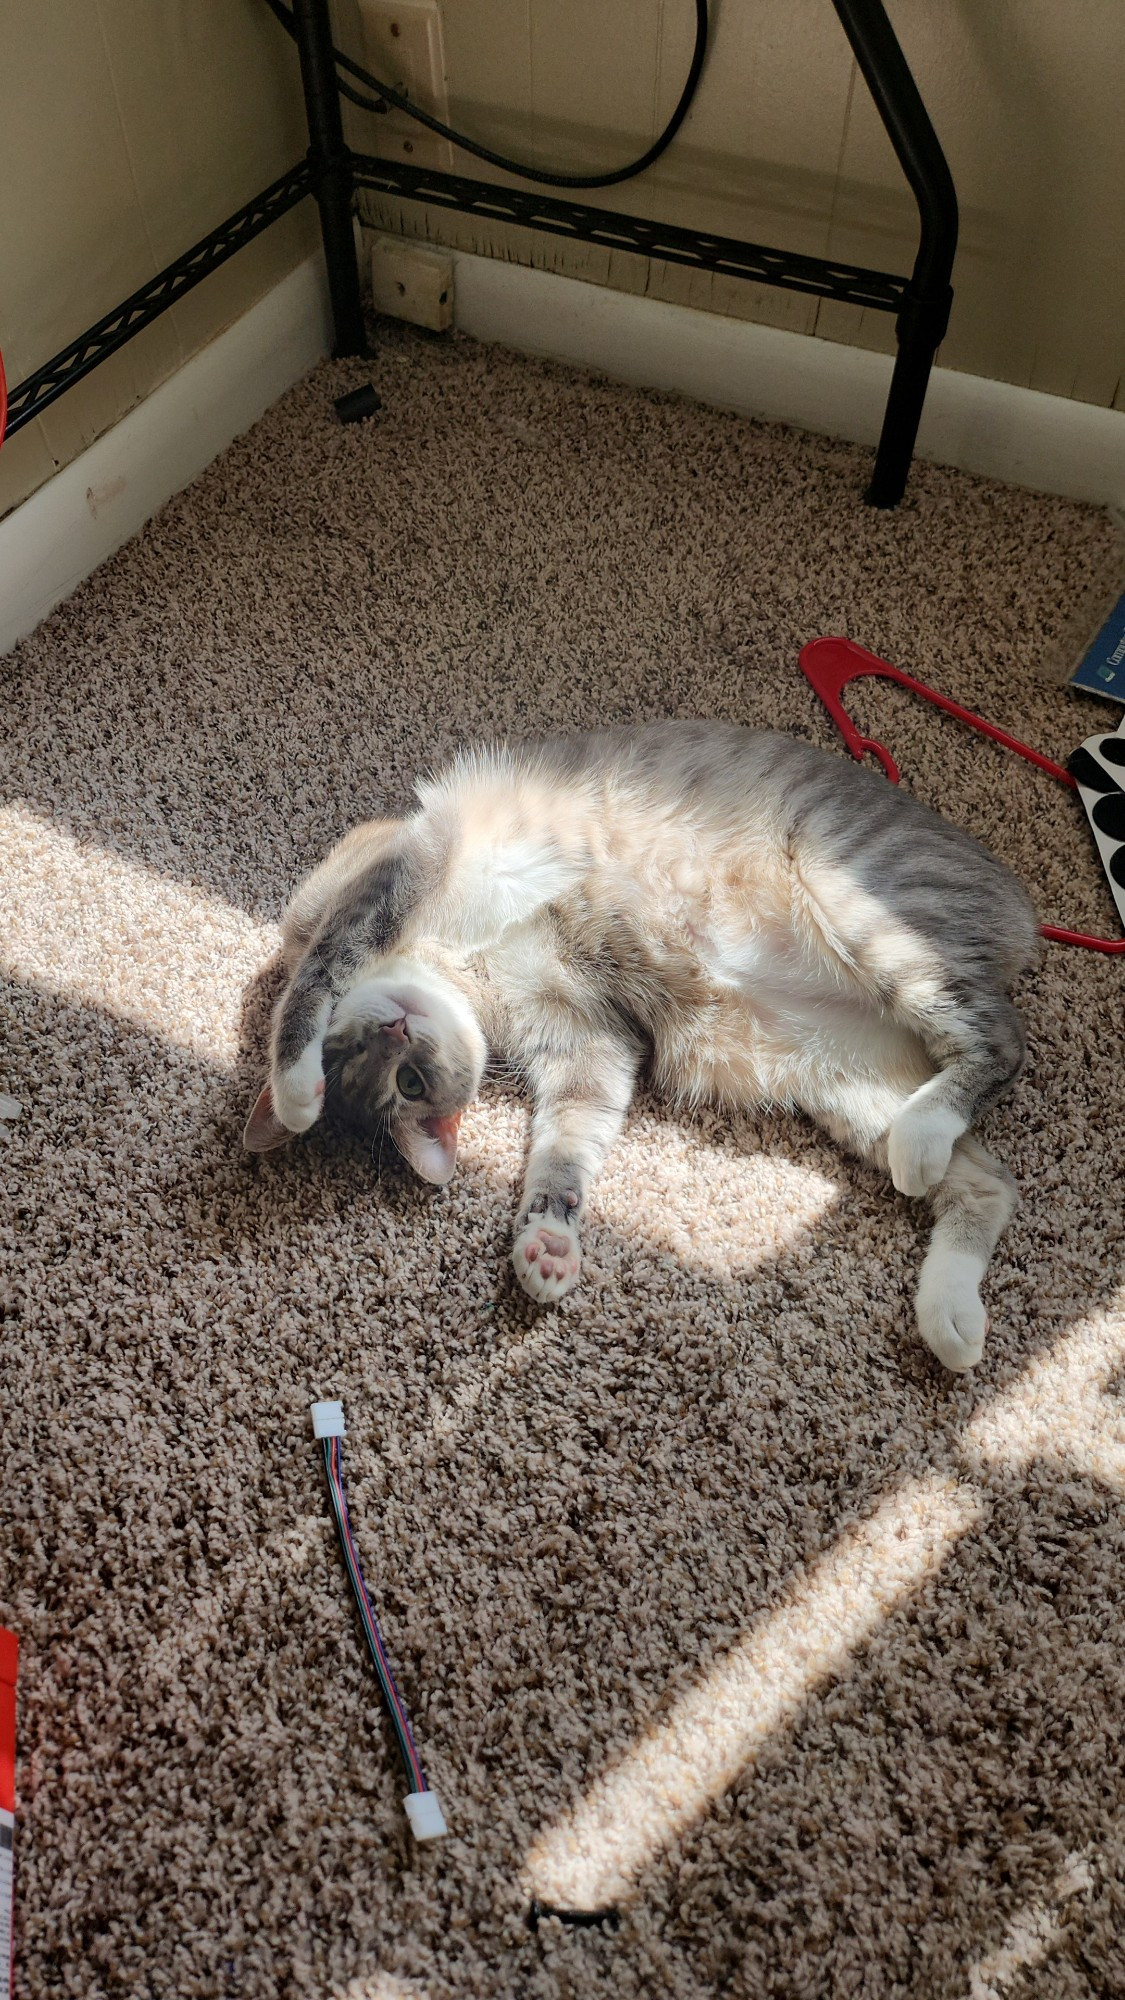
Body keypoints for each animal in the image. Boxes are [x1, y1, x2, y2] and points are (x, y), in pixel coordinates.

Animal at [245, 724, 1032, 1376]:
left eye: (398, 1076)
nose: (396, 1031)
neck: (463, 970)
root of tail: (1015, 896)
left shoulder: (405, 866)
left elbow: (315, 974)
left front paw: (295, 1092)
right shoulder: (590, 1046)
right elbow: (568, 1148)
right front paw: (547, 1245)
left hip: (860, 909)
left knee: (1004, 1043)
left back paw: (930, 1135)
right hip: (845, 1092)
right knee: (988, 1182)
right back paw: (950, 1315)